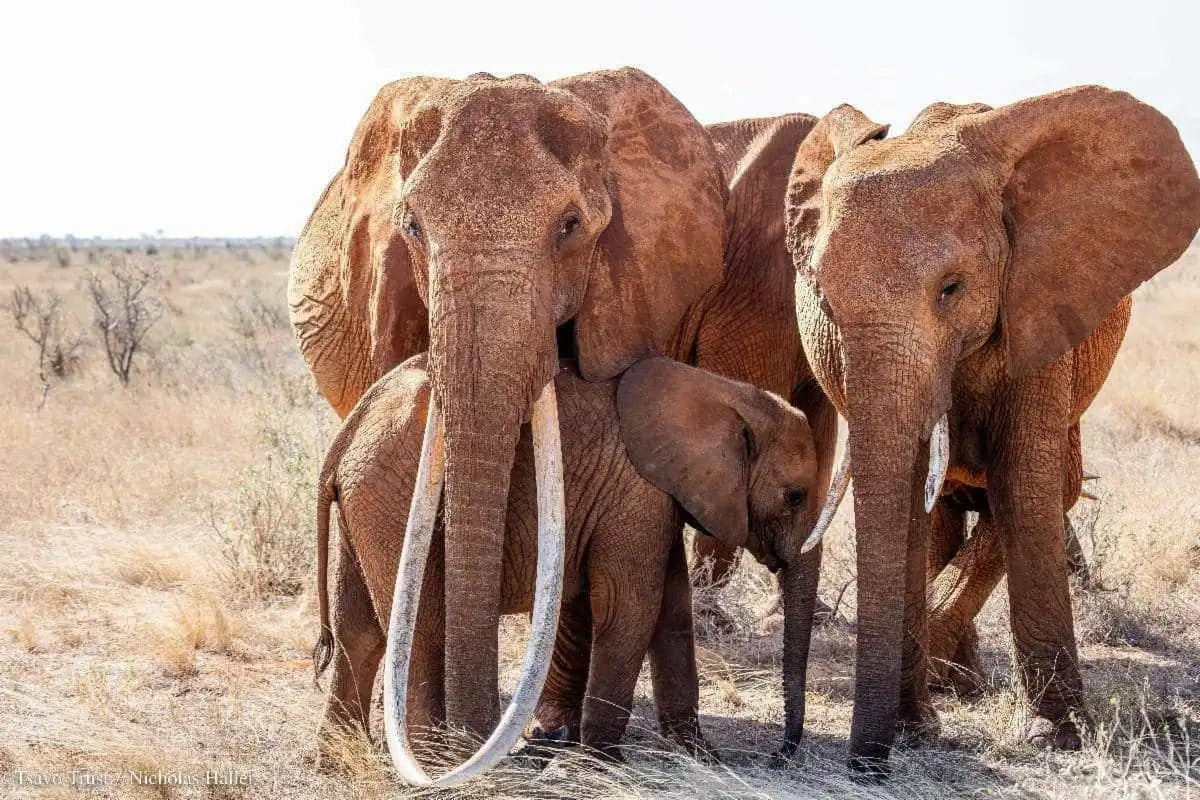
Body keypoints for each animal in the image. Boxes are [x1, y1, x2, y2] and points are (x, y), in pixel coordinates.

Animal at [311, 355, 819, 765]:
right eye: (795, 497)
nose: (777, 756)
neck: (724, 391)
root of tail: (348, 434)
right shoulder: (634, 492)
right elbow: (629, 607)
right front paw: (598, 765)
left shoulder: (659, 499)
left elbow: (671, 610)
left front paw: (699, 757)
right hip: (395, 496)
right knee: (420, 625)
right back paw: (435, 760)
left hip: (367, 498)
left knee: (358, 627)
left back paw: (338, 760)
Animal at [782, 87, 1200, 771]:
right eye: (823, 300)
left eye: (952, 289)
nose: (866, 764)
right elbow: (911, 503)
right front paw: (917, 728)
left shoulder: (1039, 309)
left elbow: (1026, 487)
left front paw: (1055, 738)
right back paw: (954, 684)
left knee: (1046, 492)